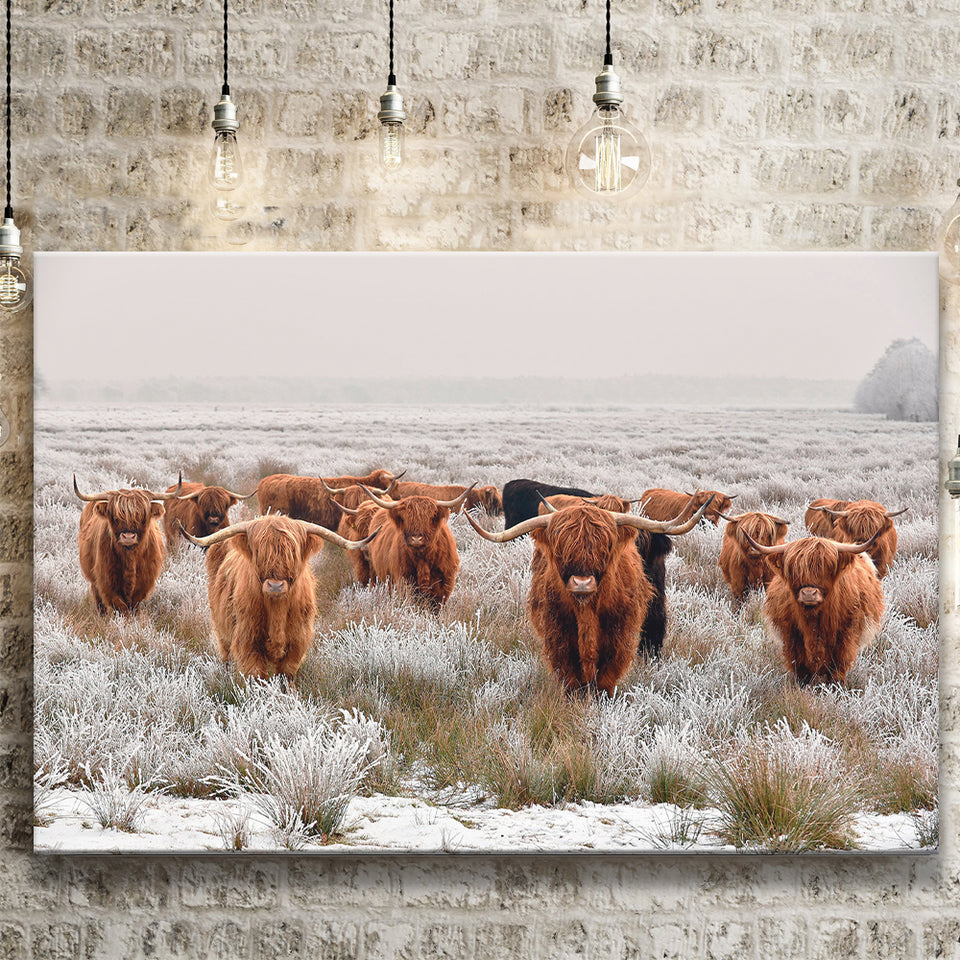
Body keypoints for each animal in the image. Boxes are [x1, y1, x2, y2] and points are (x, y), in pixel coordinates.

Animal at [75, 474, 182, 615]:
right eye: (115, 517)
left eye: (143, 517)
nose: (128, 537)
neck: (130, 558)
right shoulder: (106, 582)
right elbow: (121, 607)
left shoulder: (144, 584)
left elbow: (133, 607)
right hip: (93, 579)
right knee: (100, 603)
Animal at [179, 515, 377, 684]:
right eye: (258, 551)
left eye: (292, 552)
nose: (275, 586)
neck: (277, 610)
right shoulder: (247, 639)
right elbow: (257, 676)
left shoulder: (297, 641)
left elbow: (286, 675)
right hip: (222, 630)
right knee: (226, 655)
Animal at [466, 497, 713, 695]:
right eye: (560, 549)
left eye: (606, 546)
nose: (582, 583)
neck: (586, 611)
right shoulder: (557, 633)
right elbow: (570, 674)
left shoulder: (619, 634)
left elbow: (607, 674)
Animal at [743, 530, 884, 685]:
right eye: (794, 569)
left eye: (828, 568)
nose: (809, 593)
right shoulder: (791, 636)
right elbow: (801, 668)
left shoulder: (846, 636)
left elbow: (837, 668)